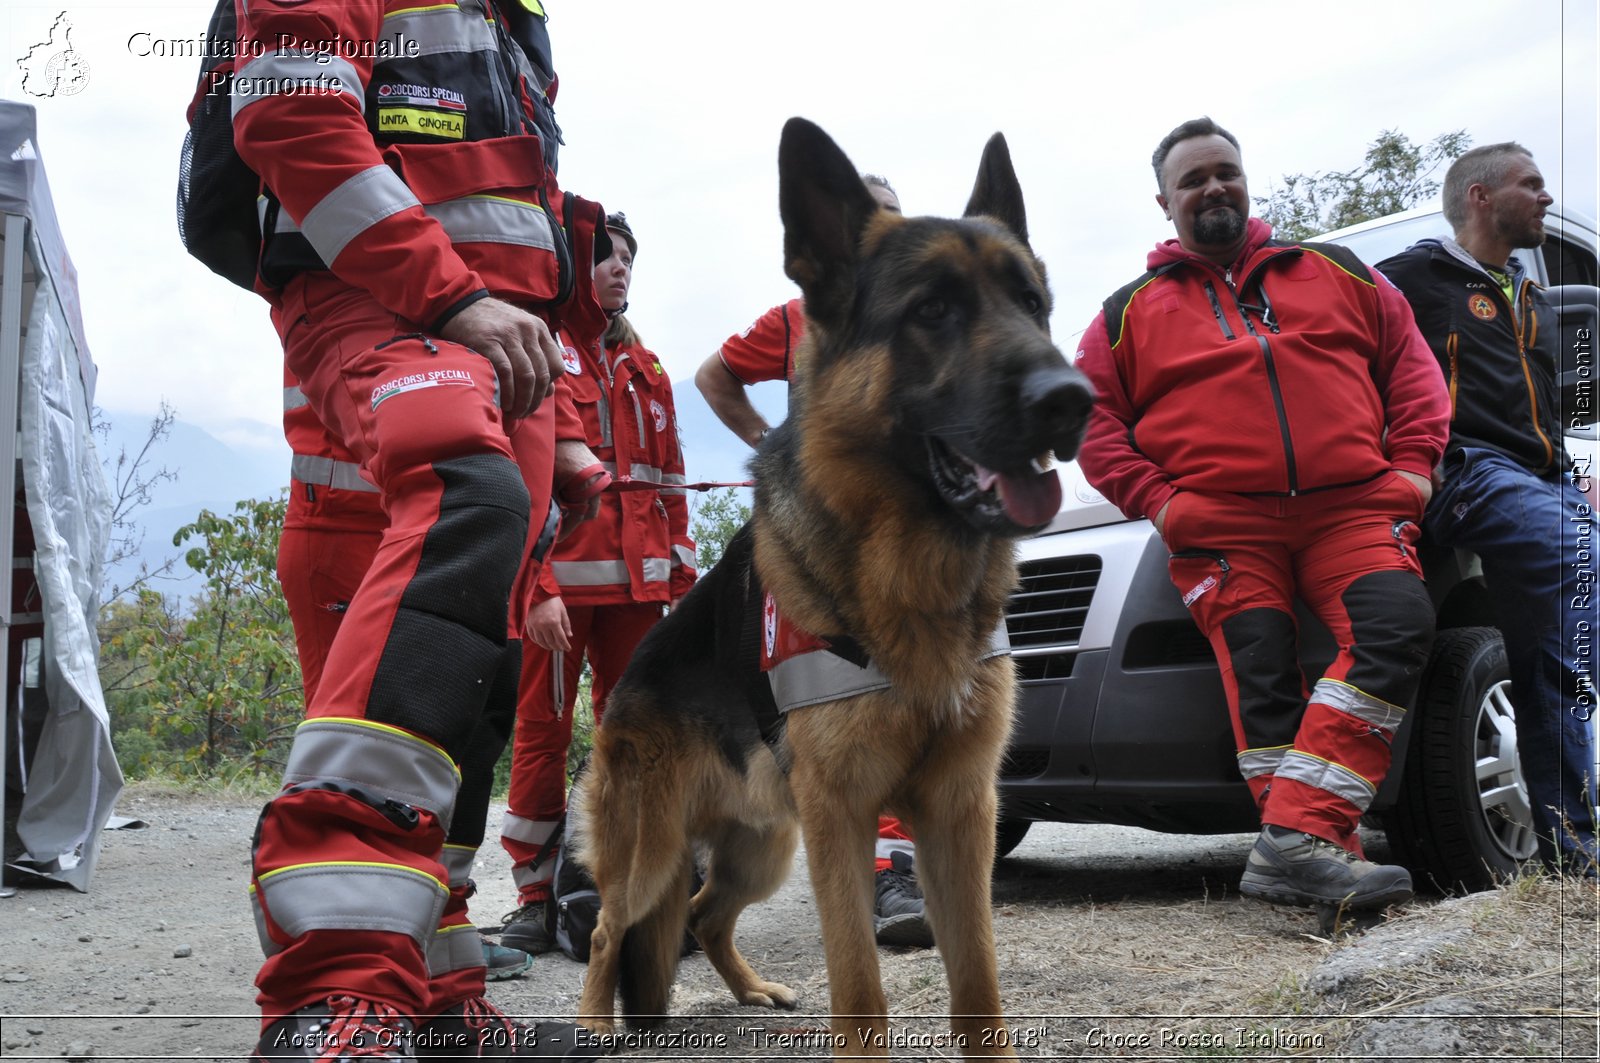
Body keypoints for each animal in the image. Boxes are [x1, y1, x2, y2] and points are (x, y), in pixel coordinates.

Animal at [569, 118, 1094, 1056]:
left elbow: (979, 989)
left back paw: (753, 989)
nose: (1074, 399)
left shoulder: (958, 812)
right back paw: (596, 1018)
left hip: (763, 848)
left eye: (1033, 303)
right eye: (932, 310)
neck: (909, 573)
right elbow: (860, 990)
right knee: (608, 925)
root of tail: (626, 681)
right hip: (656, 849)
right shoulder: (842, 819)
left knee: (703, 915)